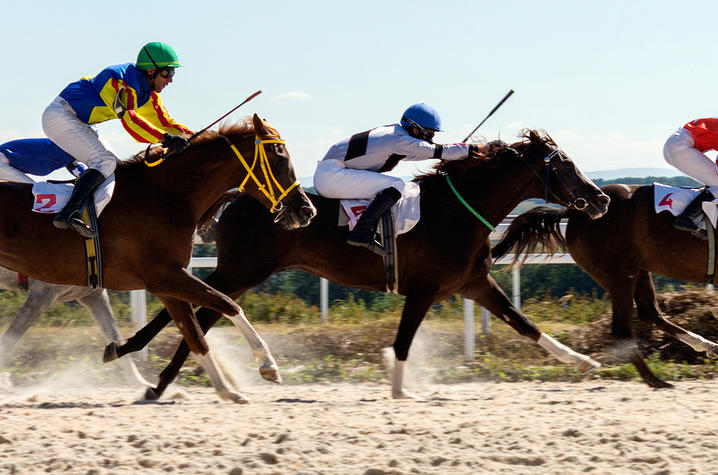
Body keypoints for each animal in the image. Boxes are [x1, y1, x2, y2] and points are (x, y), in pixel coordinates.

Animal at [0, 114, 316, 402]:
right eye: (280, 158)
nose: (307, 210)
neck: (167, 197)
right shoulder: (163, 276)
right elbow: (227, 304)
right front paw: (267, 364)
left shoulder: (165, 282)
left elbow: (195, 334)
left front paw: (225, 389)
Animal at [107, 131, 612, 402]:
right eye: (565, 165)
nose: (601, 199)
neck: (456, 211)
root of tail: (239, 196)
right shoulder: (424, 290)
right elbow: (403, 341)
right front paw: (400, 389)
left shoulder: (475, 283)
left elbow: (524, 323)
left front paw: (583, 360)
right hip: (244, 270)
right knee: (199, 311)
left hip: (242, 273)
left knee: (196, 312)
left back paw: (153, 375)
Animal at [492, 184, 718, 388]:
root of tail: (575, 212)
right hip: (619, 275)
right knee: (623, 328)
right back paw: (655, 380)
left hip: (638, 269)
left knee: (650, 312)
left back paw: (706, 346)